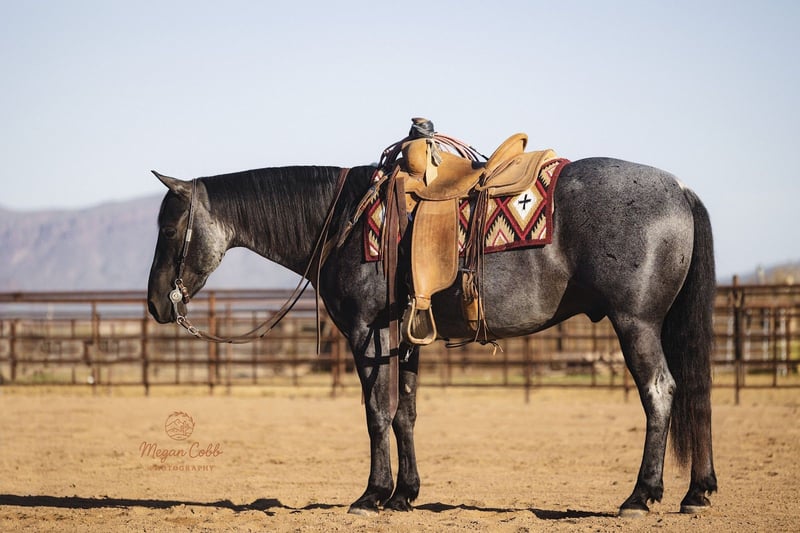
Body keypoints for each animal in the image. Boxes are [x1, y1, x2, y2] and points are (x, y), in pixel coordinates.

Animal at [147, 155, 717, 517]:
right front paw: (405, 495)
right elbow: (405, 412)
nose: (154, 304)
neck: (346, 221)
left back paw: (641, 495)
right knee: (695, 391)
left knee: (660, 392)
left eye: (169, 230)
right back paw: (697, 493)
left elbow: (376, 412)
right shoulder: (405, 336)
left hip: (636, 322)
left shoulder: (368, 333)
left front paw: (372, 495)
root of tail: (681, 190)